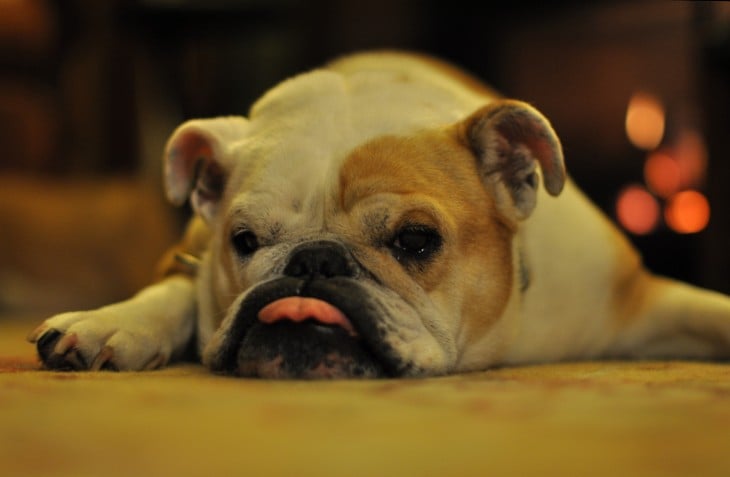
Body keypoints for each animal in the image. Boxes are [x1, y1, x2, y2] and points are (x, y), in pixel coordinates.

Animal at [27, 52, 728, 378]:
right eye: (244, 240)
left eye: (416, 240)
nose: (313, 260)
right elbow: (177, 291)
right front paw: (113, 322)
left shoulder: (633, 300)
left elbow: (711, 312)